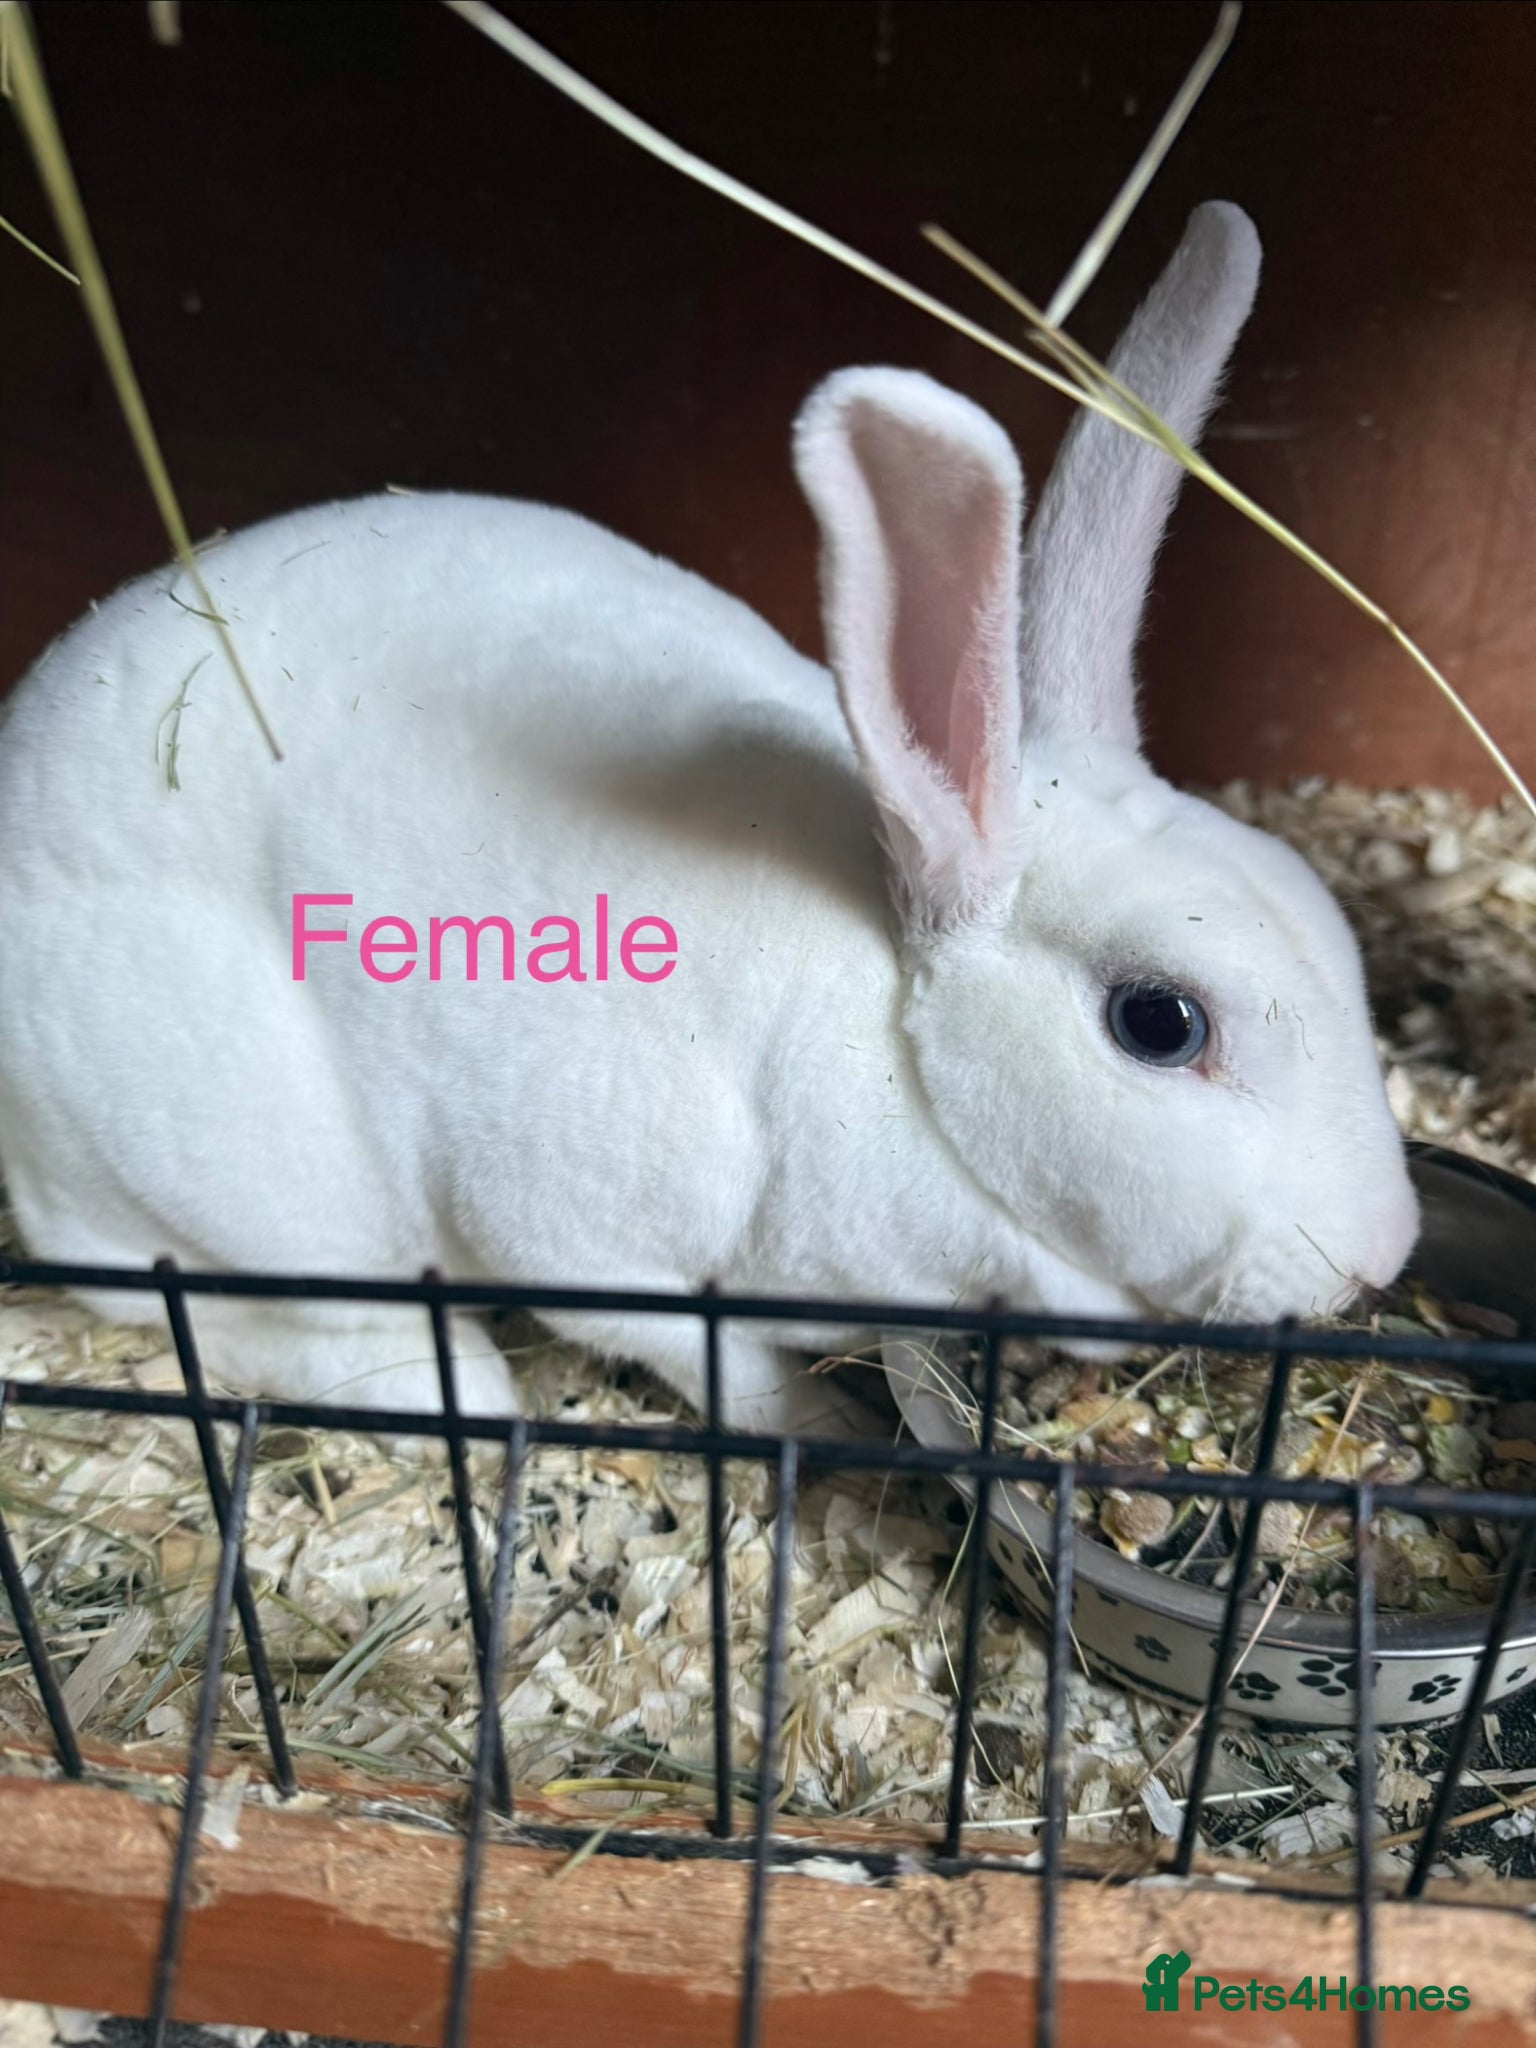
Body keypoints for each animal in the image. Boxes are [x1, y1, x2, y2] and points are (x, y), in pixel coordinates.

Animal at [0, 201, 1419, 1433]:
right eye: (1161, 1021)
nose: (1381, 1251)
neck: (889, 1034)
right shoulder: (576, 1234)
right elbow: (699, 1350)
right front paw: (813, 1415)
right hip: (256, 1188)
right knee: (219, 1307)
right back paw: (451, 1388)